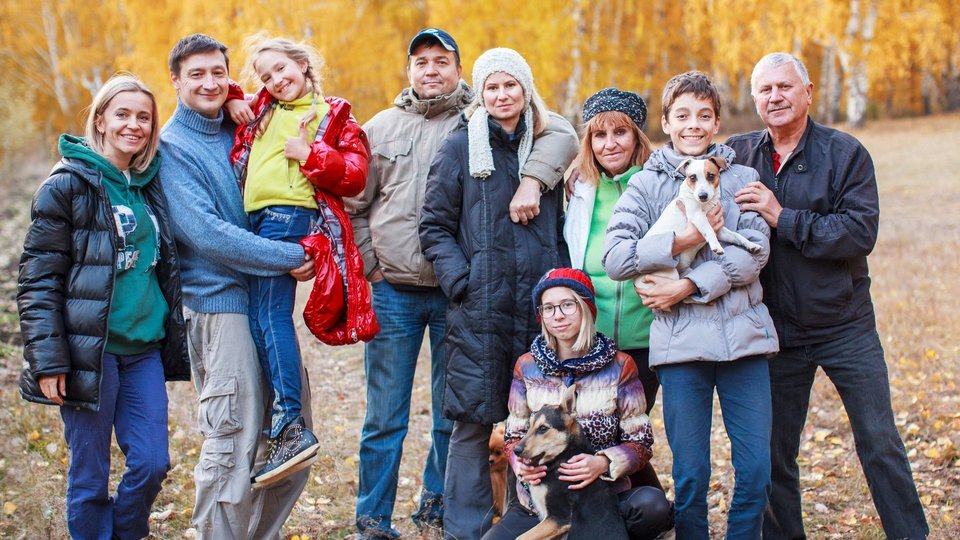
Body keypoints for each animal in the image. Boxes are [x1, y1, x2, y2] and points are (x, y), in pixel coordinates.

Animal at [512, 386, 628, 536]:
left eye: (543, 428)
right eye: (529, 426)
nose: (516, 450)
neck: (563, 456)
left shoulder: (559, 518)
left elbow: (521, 537)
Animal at [632, 156, 760, 292]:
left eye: (711, 175)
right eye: (692, 177)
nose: (702, 196)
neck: (705, 205)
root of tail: (635, 280)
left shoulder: (719, 230)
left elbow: (737, 236)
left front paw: (751, 244)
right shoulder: (697, 216)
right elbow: (709, 230)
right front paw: (716, 246)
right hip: (670, 274)